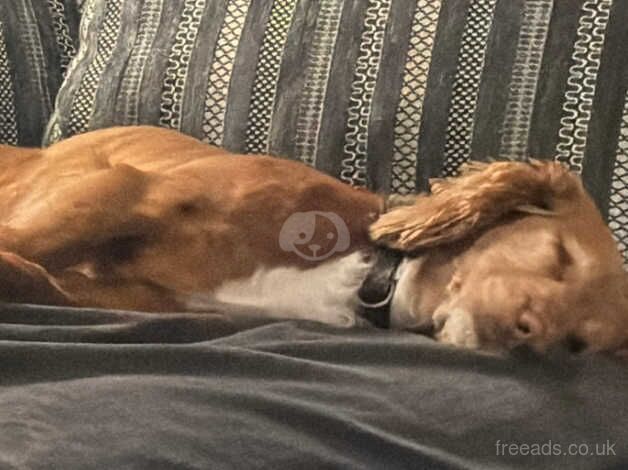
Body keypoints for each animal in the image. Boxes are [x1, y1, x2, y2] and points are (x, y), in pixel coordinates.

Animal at [1, 126, 628, 354]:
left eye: (578, 344)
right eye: (559, 256)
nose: (531, 338)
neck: (358, 271)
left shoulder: (134, 296)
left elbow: (37, 278)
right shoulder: (130, 189)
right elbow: (26, 243)